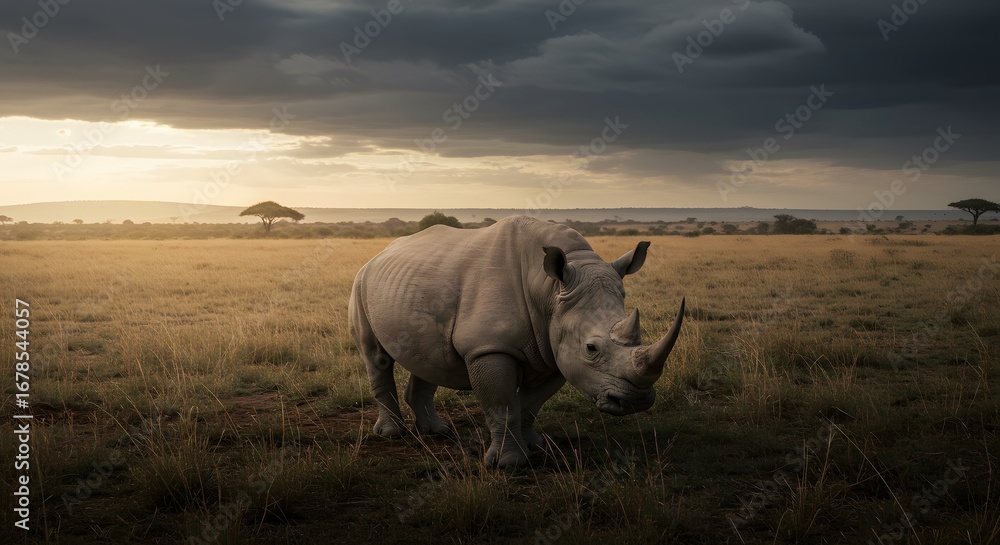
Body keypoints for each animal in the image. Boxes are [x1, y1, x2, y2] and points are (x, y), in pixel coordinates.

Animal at [349, 216, 684, 467]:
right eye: (591, 349)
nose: (636, 401)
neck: (549, 289)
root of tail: (378, 255)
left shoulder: (555, 350)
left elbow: (530, 404)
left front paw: (534, 445)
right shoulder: (488, 348)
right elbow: (503, 402)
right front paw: (509, 463)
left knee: (429, 358)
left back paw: (436, 431)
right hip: (361, 282)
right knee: (376, 356)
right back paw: (393, 434)